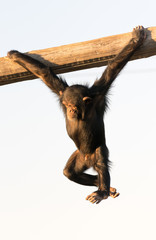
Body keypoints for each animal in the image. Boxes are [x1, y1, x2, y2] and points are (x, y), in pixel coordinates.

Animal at [7, 26, 146, 203]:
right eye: (66, 105)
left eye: (74, 106)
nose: (70, 110)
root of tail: (88, 159)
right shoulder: (61, 91)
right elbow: (44, 73)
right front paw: (14, 55)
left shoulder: (99, 95)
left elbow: (113, 68)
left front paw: (136, 39)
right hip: (79, 156)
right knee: (70, 172)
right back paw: (102, 185)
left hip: (97, 150)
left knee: (101, 164)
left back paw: (102, 191)